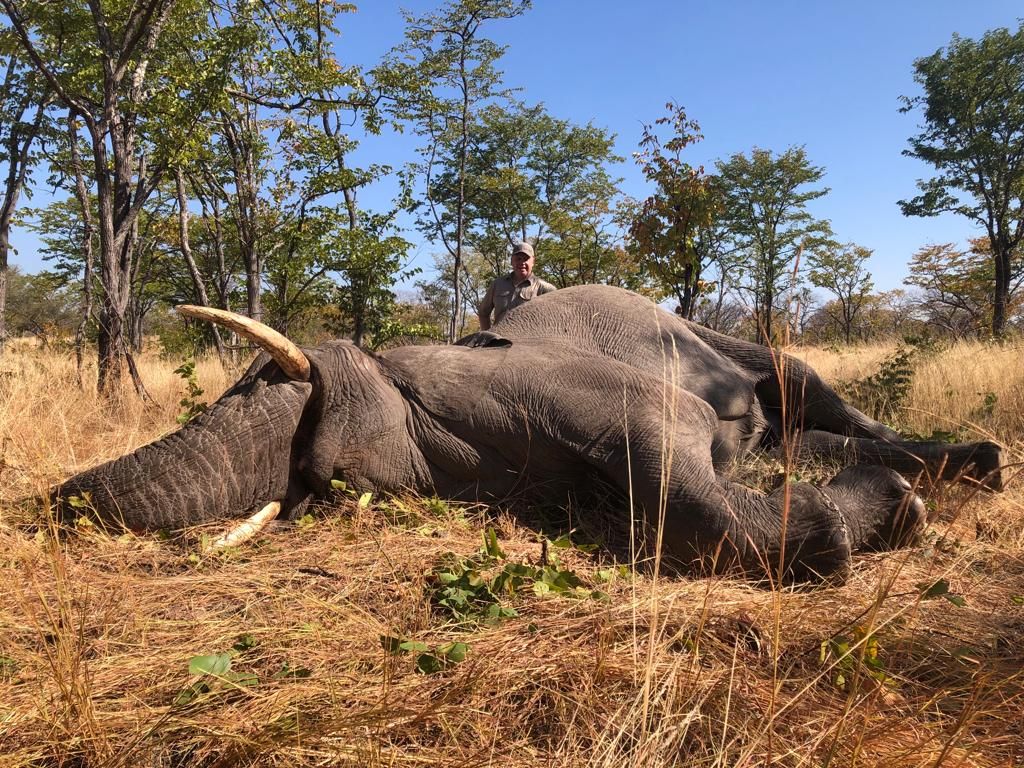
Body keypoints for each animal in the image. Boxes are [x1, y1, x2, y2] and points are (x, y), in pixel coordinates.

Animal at [52, 285, 1005, 582]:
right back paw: (971, 468)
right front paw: (894, 510)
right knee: (803, 439)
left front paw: (882, 515)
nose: (57, 498)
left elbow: (676, 469)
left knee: (805, 389)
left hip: (717, 339)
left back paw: (963, 471)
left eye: (261, 383)